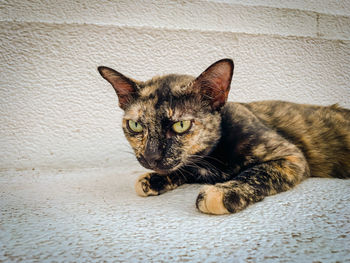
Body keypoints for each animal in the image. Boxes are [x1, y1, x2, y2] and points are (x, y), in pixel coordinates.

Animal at [98, 58, 350, 216]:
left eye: (180, 125)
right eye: (135, 125)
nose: (151, 157)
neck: (210, 158)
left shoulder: (291, 156)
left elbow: (259, 172)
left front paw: (224, 192)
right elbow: (182, 168)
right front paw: (153, 179)